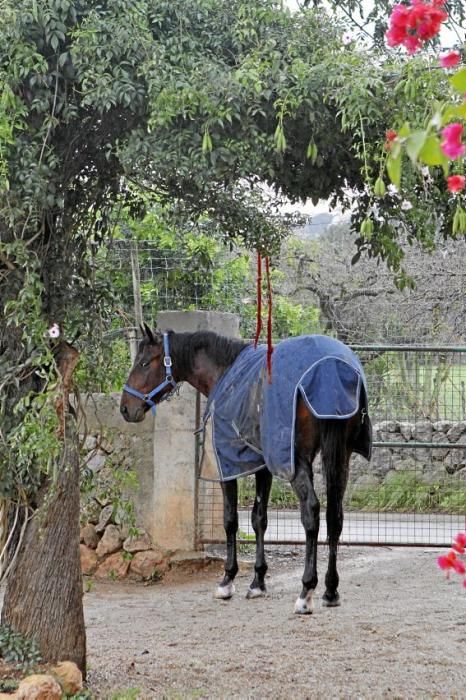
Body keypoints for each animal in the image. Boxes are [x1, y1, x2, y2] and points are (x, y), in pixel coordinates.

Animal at [120, 326, 372, 616]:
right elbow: (259, 519)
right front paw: (257, 582)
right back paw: (330, 590)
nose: (125, 408)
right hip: (341, 456)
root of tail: (331, 367)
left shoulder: (227, 464)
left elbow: (230, 519)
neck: (225, 371)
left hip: (297, 461)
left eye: (144, 363)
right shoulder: (261, 463)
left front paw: (227, 580)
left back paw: (306, 592)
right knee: (335, 516)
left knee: (311, 511)